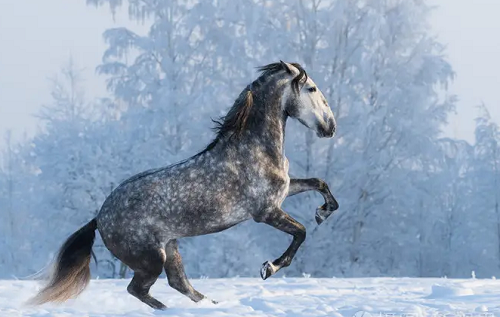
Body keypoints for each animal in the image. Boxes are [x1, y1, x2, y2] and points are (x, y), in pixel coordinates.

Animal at [29, 59, 338, 308]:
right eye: (312, 89)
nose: (331, 127)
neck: (254, 148)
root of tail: (98, 219)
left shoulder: (282, 193)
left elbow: (319, 183)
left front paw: (322, 212)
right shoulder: (266, 212)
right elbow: (301, 233)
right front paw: (269, 268)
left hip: (170, 248)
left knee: (179, 284)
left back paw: (212, 305)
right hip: (151, 258)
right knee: (139, 289)